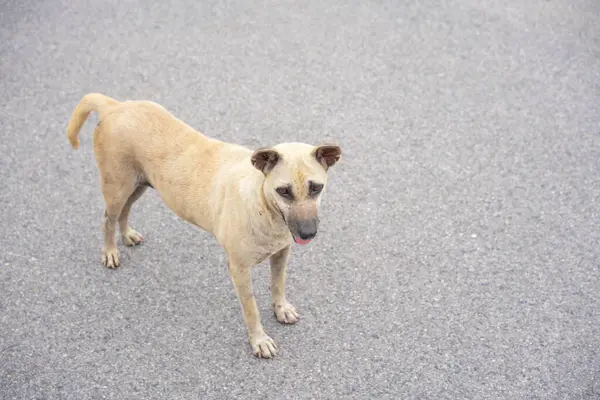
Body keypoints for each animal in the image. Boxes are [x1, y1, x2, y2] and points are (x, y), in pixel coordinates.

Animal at [65, 94, 342, 360]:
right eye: (283, 191)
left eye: (316, 188)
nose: (308, 233)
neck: (262, 203)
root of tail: (116, 106)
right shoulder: (239, 270)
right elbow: (251, 310)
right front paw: (259, 340)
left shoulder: (281, 254)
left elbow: (278, 284)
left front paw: (281, 308)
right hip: (117, 188)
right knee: (108, 218)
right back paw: (110, 251)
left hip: (139, 185)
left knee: (124, 212)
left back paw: (126, 235)